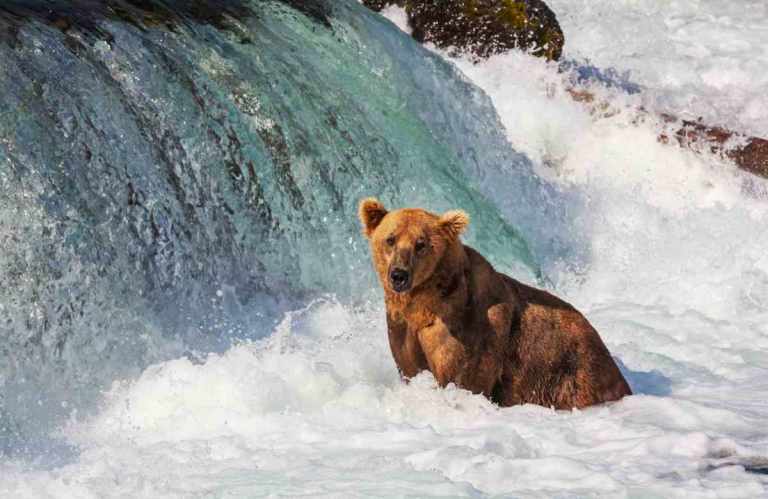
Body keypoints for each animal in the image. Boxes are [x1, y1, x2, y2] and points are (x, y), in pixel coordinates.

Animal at [358, 199, 632, 410]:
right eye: (390, 239)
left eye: (420, 244)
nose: (399, 275)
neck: (422, 303)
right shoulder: (402, 330)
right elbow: (410, 367)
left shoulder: (470, 330)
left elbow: (461, 378)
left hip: (571, 374)